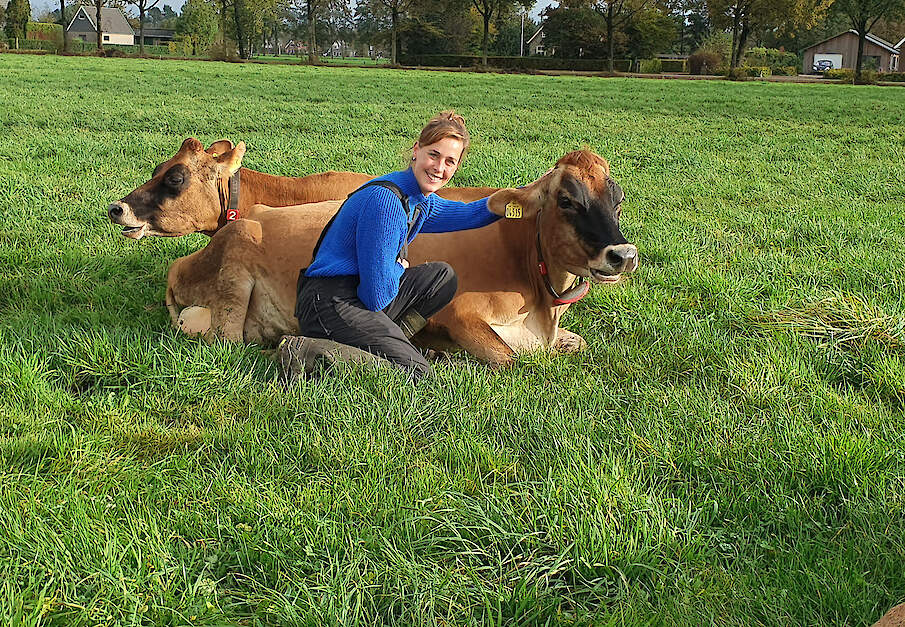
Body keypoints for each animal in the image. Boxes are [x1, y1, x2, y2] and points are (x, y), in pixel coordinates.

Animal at [166, 151, 640, 368]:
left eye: (617, 200)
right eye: (566, 200)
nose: (624, 255)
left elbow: (575, 344)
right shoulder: (462, 313)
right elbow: (509, 360)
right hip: (233, 280)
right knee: (229, 342)